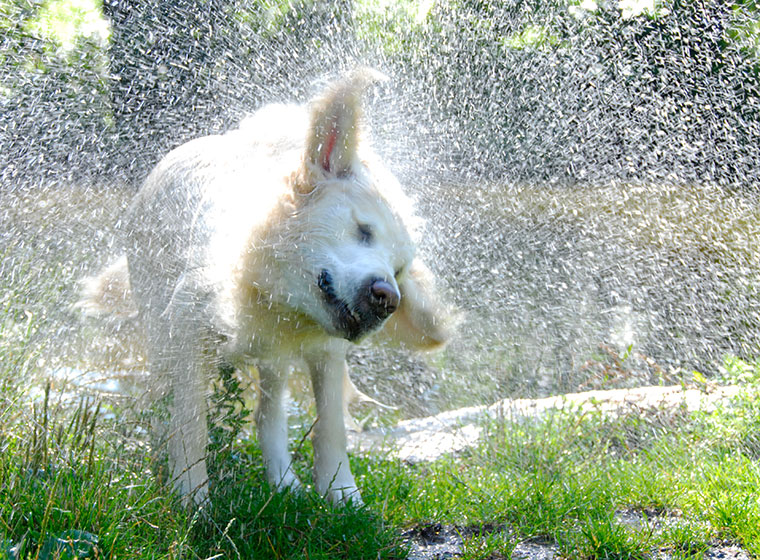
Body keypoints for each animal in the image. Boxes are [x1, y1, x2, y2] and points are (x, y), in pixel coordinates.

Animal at [78, 68, 452, 506]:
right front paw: (191, 502)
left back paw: (284, 484)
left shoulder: (326, 349)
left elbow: (331, 428)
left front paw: (343, 497)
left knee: (267, 415)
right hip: (157, 329)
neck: (271, 292)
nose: (388, 299)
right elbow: (189, 425)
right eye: (363, 230)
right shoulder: (186, 334)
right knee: (160, 403)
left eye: (400, 269)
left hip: (273, 358)